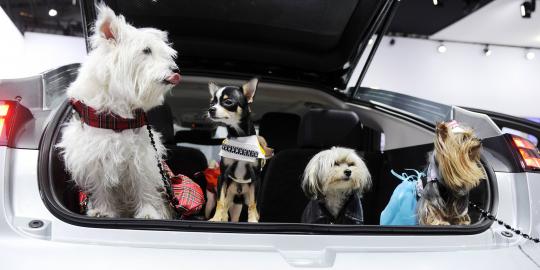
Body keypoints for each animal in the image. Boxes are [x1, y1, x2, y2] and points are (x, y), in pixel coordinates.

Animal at [57, 4, 180, 219]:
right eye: (146, 50)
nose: (176, 70)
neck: (116, 113)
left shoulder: (142, 156)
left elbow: (143, 184)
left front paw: (148, 212)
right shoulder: (93, 158)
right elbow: (101, 188)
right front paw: (103, 211)